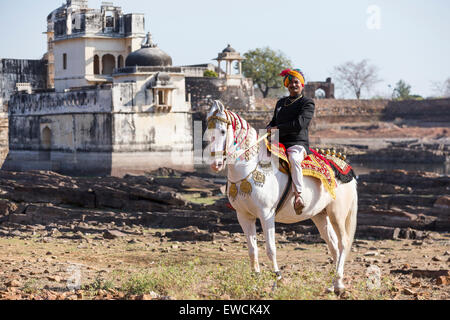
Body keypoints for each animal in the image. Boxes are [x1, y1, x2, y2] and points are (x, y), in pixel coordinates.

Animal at [205, 100, 358, 292]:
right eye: (207, 129)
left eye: (223, 131)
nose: (215, 164)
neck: (250, 168)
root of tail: (346, 167)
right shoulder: (244, 216)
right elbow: (252, 249)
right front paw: (255, 280)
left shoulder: (266, 214)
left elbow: (270, 248)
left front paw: (277, 278)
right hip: (320, 215)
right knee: (333, 246)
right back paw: (334, 284)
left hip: (337, 213)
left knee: (343, 242)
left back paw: (338, 283)